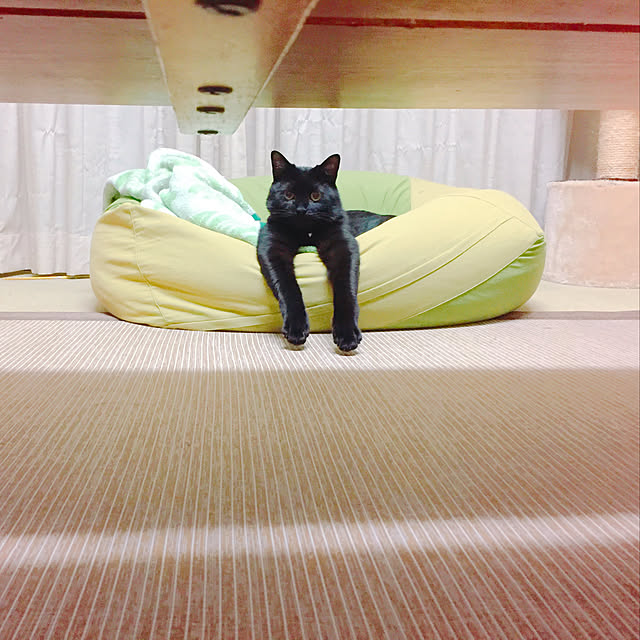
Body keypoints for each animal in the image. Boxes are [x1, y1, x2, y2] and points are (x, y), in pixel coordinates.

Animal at [256, 150, 393, 353]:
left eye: (315, 196)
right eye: (288, 195)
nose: (301, 210)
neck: (307, 234)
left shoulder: (343, 246)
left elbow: (346, 289)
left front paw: (347, 334)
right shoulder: (271, 246)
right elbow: (288, 287)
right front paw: (296, 329)